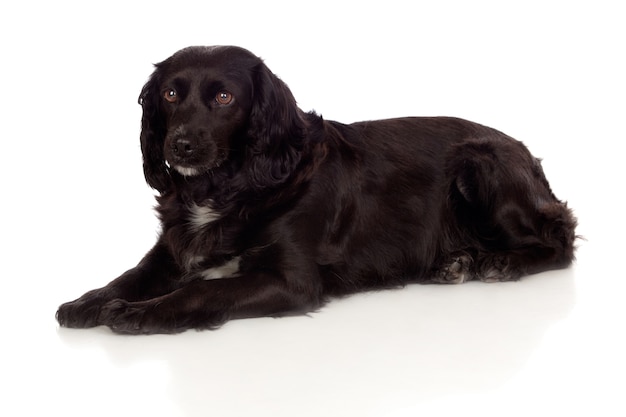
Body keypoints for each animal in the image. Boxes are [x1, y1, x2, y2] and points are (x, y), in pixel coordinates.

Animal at [56, 45, 576, 334]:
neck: (231, 187)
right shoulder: (171, 252)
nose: (179, 144)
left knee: (561, 238)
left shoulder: (291, 281)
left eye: (223, 97)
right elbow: (128, 276)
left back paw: (502, 263)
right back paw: (456, 262)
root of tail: (525, 151)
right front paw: (88, 302)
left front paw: (138, 313)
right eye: (169, 94)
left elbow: (200, 292)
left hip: (481, 164)